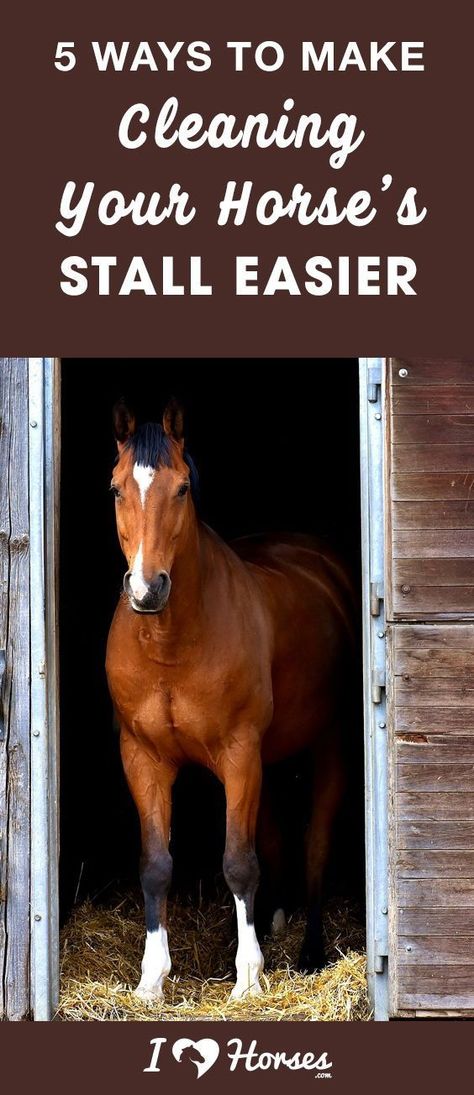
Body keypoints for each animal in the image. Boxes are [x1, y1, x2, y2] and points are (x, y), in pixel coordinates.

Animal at [104, 402, 354, 1003]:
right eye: (116, 488)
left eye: (182, 488)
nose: (147, 590)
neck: (171, 644)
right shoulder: (143, 758)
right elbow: (155, 864)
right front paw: (151, 979)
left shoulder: (239, 755)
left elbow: (239, 862)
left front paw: (248, 977)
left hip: (328, 744)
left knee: (315, 842)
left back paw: (309, 952)